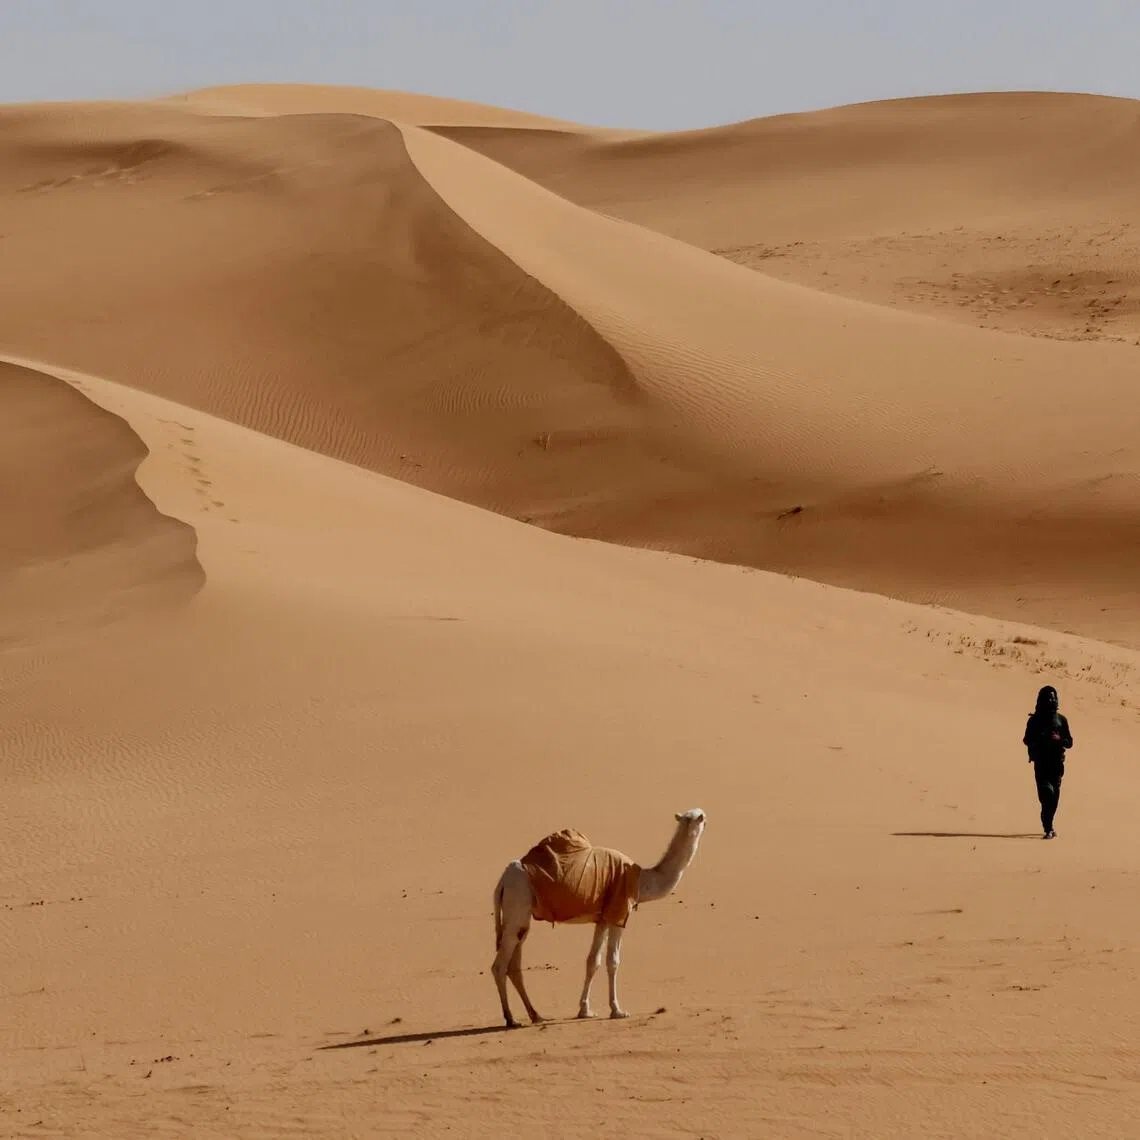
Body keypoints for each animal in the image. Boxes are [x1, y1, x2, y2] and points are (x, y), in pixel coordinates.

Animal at [491, 808, 707, 1028]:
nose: (707, 820)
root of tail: (502, 881)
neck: (641, 880)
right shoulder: (618, 913)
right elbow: (613, 961)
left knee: (514, 963)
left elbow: (593, 961)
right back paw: (511, 1019)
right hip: (517, 903)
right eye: (702, 817)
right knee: (499, 966)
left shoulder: (602, 919)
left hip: (520, 916)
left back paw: (536, 1015)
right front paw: (617, 1010)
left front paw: (585, 1010)